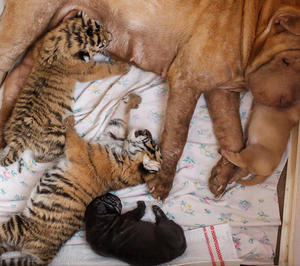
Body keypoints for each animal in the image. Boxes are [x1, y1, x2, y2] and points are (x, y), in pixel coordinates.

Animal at [0, 0, 300, 198]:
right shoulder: (187, 79)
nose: (285, 107)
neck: (257, 23)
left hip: (50, 36)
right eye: (287, 61)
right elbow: (178, 135)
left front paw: (224, 174)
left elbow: (233, 135)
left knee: (16, 78)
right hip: (28, 22)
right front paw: (163, 180)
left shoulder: (222, 91)